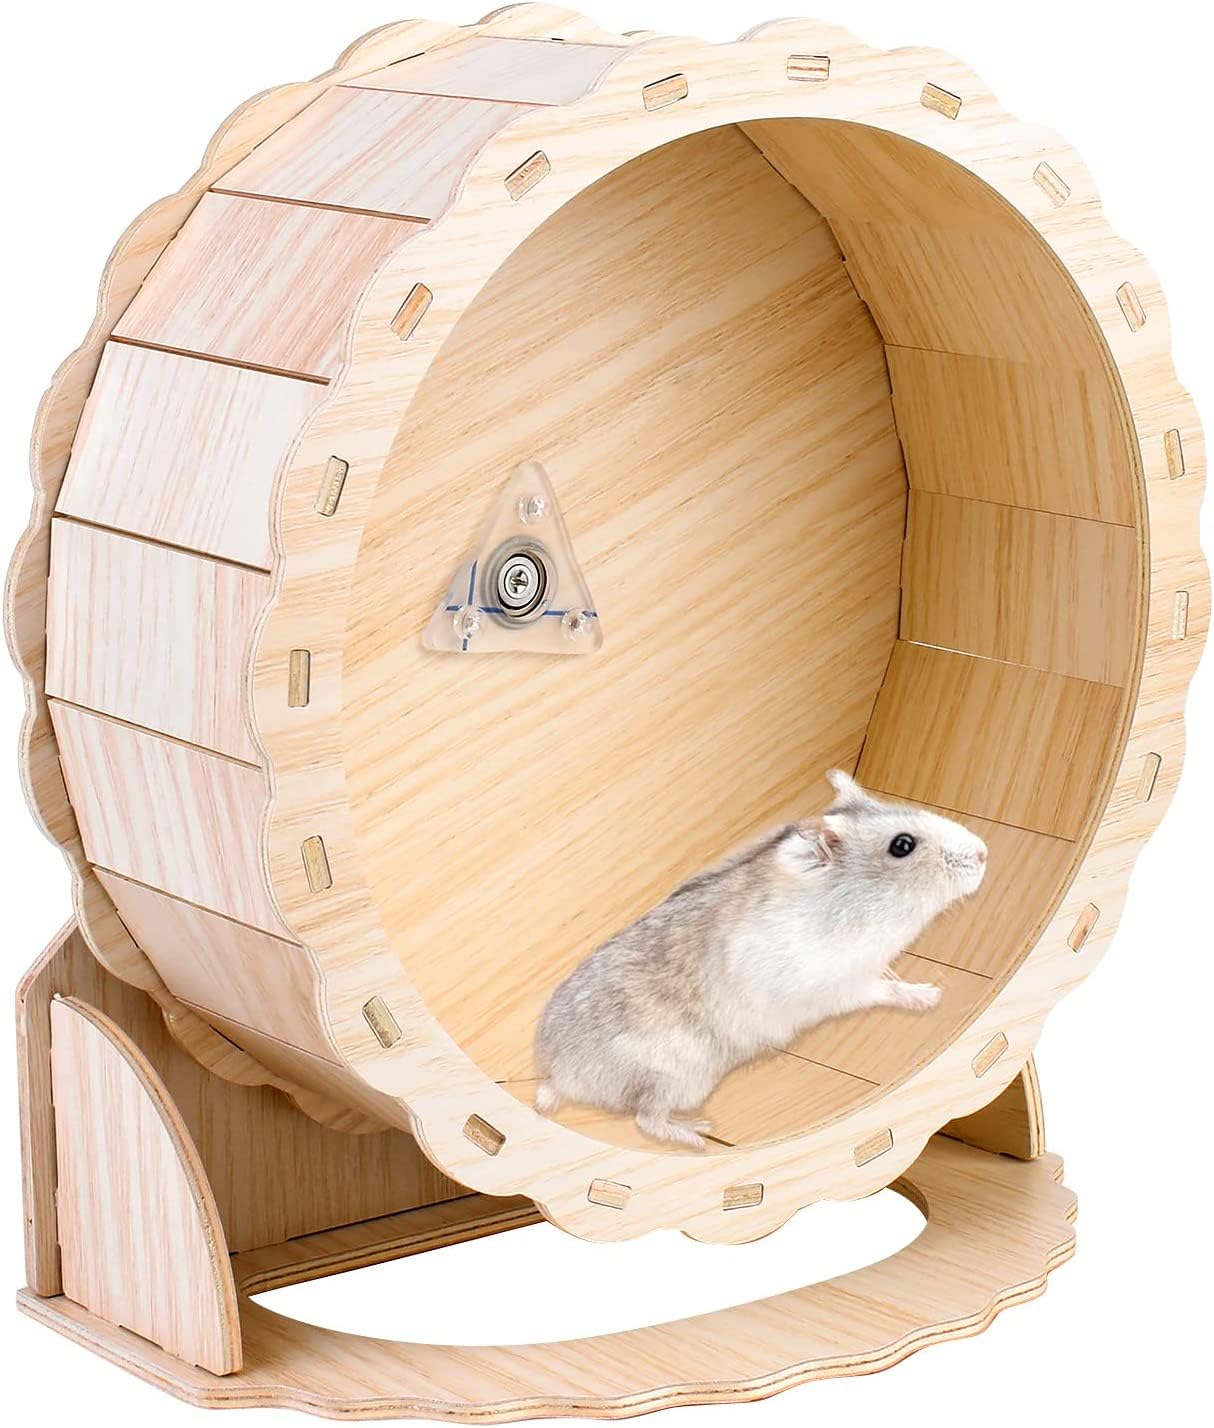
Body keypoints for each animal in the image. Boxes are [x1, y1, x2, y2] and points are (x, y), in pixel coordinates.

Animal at [534, 770, 988, 1150]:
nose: (984, 853)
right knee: (646, 1119)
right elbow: (885, 988)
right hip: (676, 1076)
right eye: (902, 845)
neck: (853, 906)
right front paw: (931, 995)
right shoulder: (843, 984)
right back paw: (698, 1134)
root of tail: (557, 1074)